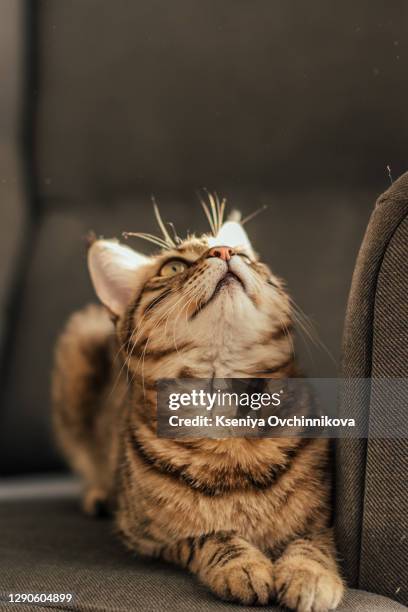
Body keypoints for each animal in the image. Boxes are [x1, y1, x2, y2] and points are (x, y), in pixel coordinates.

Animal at [52, 198, 342, 608]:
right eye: (173, 266)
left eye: (243, 254)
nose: (223, 251)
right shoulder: (151, 537)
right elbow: (209, 536)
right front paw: (242, 564)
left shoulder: (322, 519)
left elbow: (312, 543)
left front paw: (310, 575)